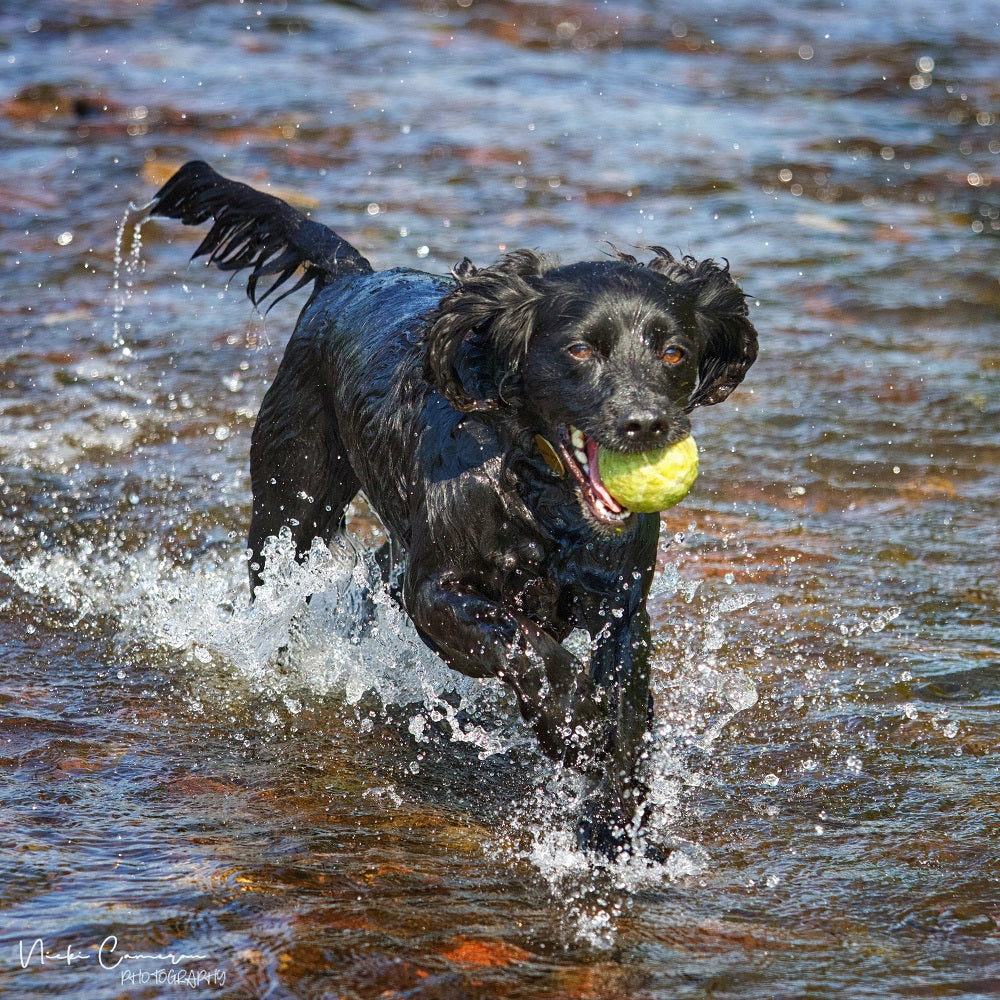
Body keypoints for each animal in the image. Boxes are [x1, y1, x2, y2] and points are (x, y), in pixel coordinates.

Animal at [148, 160, 756, 856]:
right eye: (580, 350)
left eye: (673, 351)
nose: (648, 423)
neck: (541, 498)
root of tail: (350, 277)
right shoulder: (437, 593)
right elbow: (524, 643)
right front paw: (571, 721)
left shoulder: (622, 608)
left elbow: (628, 719)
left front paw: (615, 826)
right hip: (292, 501)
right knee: (276, 581)